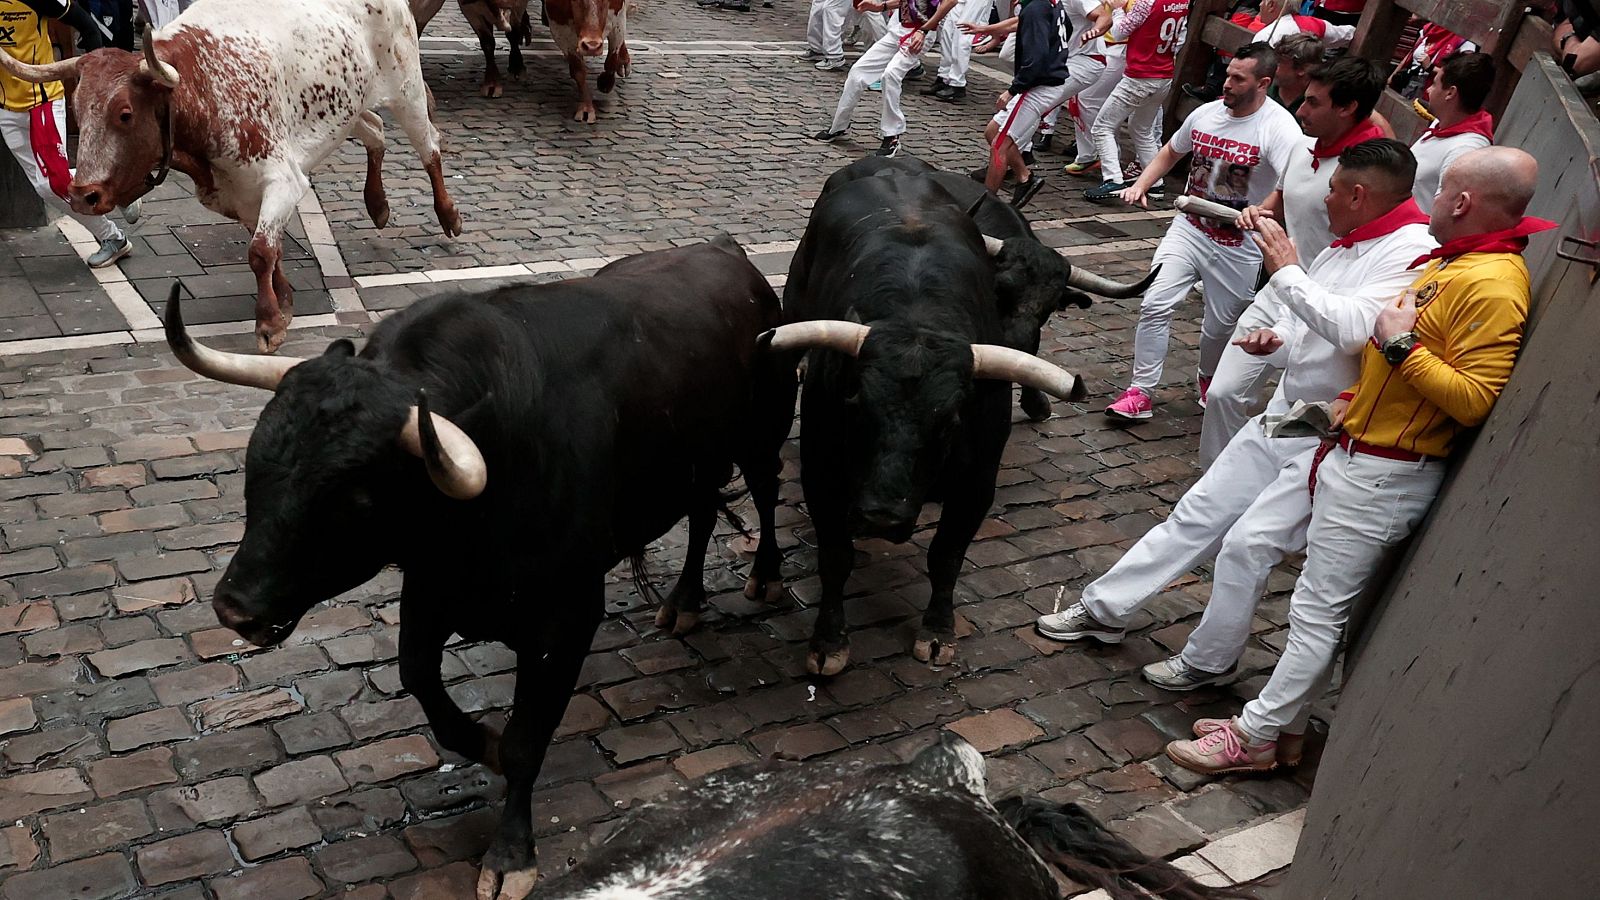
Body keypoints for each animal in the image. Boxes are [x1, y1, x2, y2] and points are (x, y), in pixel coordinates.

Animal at [162, 237, 800, 896]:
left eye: (354, 501)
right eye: (255, 463)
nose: (234, 608)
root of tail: (724, 252)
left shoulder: (567, 615)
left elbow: (525, 741)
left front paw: (511, 853)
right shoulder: (431, 587)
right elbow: (421, 679)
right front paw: (480, 744)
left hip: (762, 433)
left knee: (765, 488)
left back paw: (765, 576)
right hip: (697, 462)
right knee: (701, 513)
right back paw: (685, 601)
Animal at [771, 156, 1158, 672]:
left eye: (951, 420)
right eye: (855, 404)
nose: (881, 518)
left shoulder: (976, 486)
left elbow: (946, 556)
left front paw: (937, 632)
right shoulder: (823, 473)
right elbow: (835, 557)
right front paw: (829, 642)